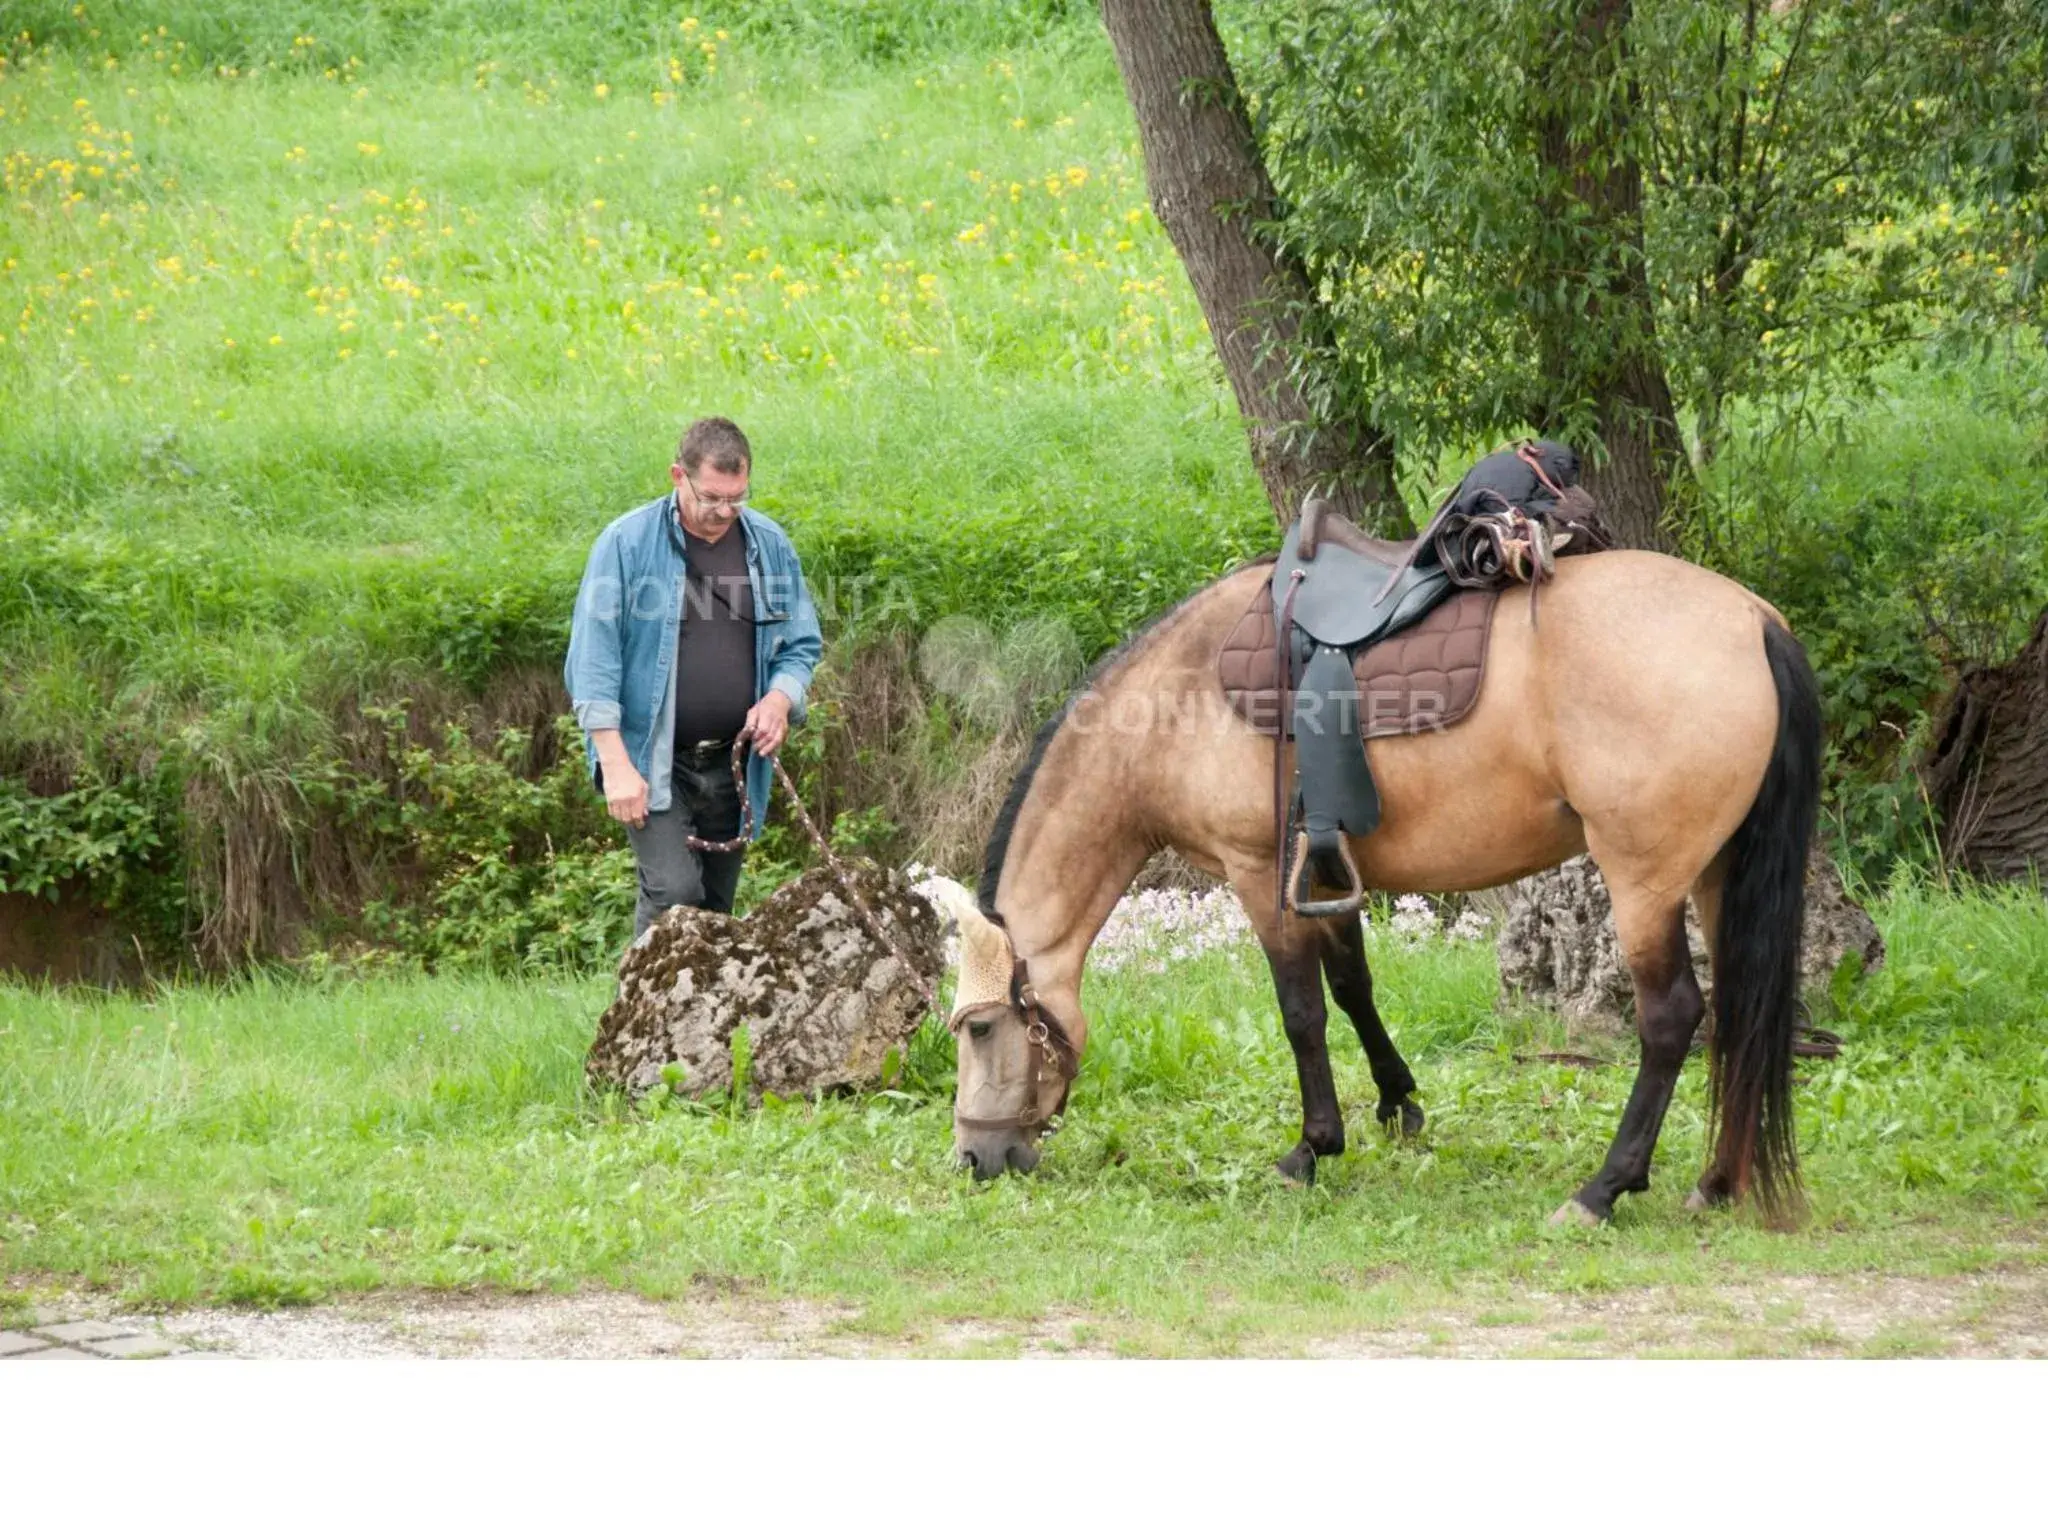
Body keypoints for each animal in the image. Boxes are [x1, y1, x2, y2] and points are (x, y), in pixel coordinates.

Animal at [921, 528, 1818, 1228]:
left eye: (979, 1029)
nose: (973, 1157)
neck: (1174, 701)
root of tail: (1753, 620)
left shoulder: (1260, 875)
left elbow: (1302, 1013)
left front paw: (1311, 1149)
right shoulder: (1324, 872)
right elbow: (1354, 986)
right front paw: (1396, 1103)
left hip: (1643, 881)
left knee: (1672, 1020)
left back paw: (1604, 1189)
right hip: (1715, 874)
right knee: (1737, 1010)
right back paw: (1717, 1181)